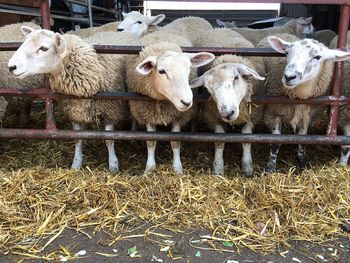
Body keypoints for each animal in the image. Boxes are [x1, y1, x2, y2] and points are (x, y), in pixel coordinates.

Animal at [8, 25, 139, 172]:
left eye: (44, 48)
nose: (11, 67)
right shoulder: (75, 111)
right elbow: (78, 139)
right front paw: (76, 163)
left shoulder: (111, 110)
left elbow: (109, 139)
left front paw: (113, 164)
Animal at [125, 31, 213, 175]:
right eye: (161, 71)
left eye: (189, 68)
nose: (187, 102)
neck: (162, 101)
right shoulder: (147, 113)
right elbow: (150, 142)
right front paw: (149, 168)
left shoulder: (179, 116)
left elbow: (175, 142)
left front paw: (177, 168)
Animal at [191, 27, 266, 177]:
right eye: (208, 88)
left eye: (236, 78)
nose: (227, 113)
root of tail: (219, 28)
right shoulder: (211, 115)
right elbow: (220, 140)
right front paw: (218, 167)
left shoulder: (253, 115)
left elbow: (246, 139)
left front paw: (247, 167)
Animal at [256, 33, 350, 173]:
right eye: (287, 52)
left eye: (317, 57)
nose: (289, 76)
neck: (299, 96)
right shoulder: (273, 113)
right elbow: (275, 142)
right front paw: (270, 168)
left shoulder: (307, 115)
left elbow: (302, 139)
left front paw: (302, 164)